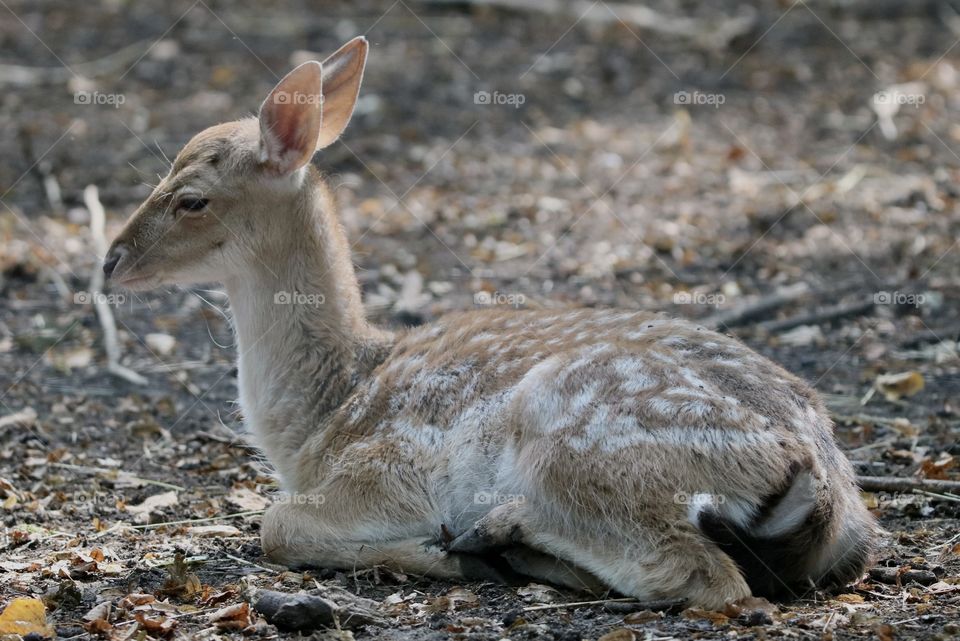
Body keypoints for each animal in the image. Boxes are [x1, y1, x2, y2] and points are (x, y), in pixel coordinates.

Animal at [103, 36, 878, 609]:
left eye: (192, 199)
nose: (109, 261)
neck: (320, 417)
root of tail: (819, 482)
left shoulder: (389, 467)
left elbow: (275, 522)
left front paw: (430, 551)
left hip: (580, 448)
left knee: (704, 576)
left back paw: (491, 539)